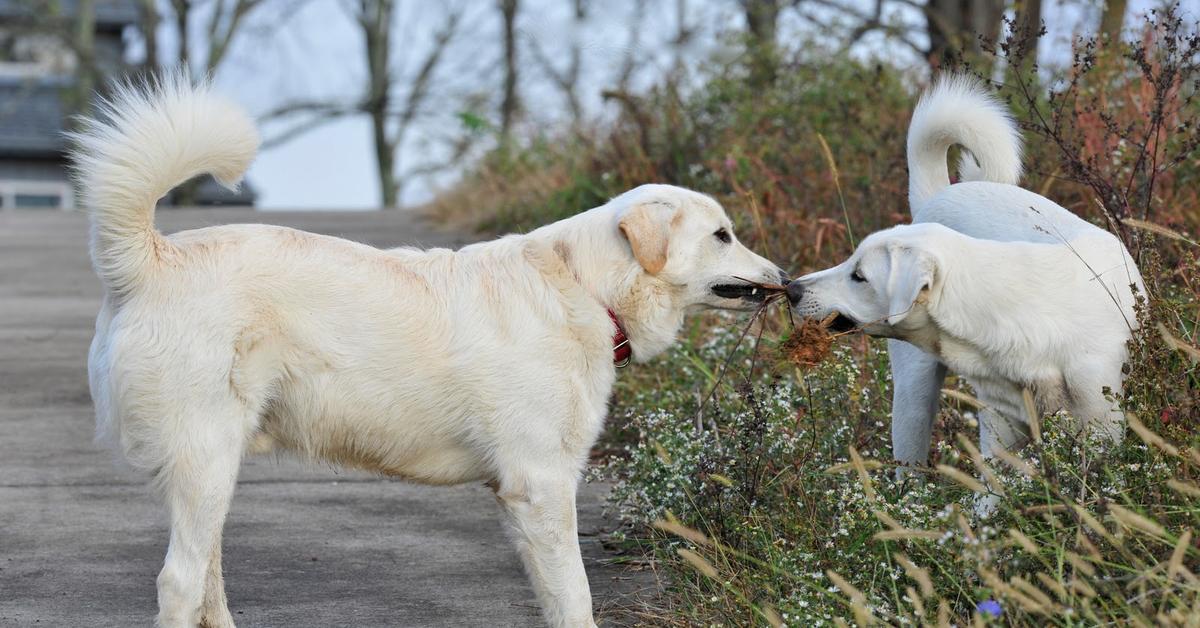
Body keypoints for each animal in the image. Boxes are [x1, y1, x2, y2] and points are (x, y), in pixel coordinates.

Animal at [75, 77, 787, 628]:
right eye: (722, 235)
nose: (783, 276)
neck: (583, 286)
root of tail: (150, 260)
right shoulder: (541, 486)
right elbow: (576, 598)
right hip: (206, 457)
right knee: (178, 582)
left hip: (212, 471)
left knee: (206, 576)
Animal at [787, 75, 1142, 470]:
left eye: (859, 276)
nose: (791, 289)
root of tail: (939, 194)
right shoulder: (1001, 433)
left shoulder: (1102, 429)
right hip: (913, 400)